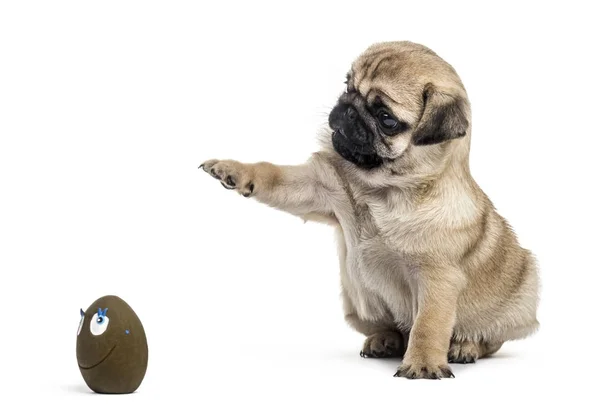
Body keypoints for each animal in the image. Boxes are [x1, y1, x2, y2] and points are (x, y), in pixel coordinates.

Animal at [200, 41, 540, 376]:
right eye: (347, 85)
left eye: (386, 118)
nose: (348, 108)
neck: (382, 190)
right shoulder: (317, 187)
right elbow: (271, 174)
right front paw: (233, 170)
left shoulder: (438, 279)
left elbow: (429, 325)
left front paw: (424, 362)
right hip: (356, 302)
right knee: (395, 330)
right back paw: (385, 340)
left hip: (519, 300)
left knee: (487, 339)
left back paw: (463, 346)